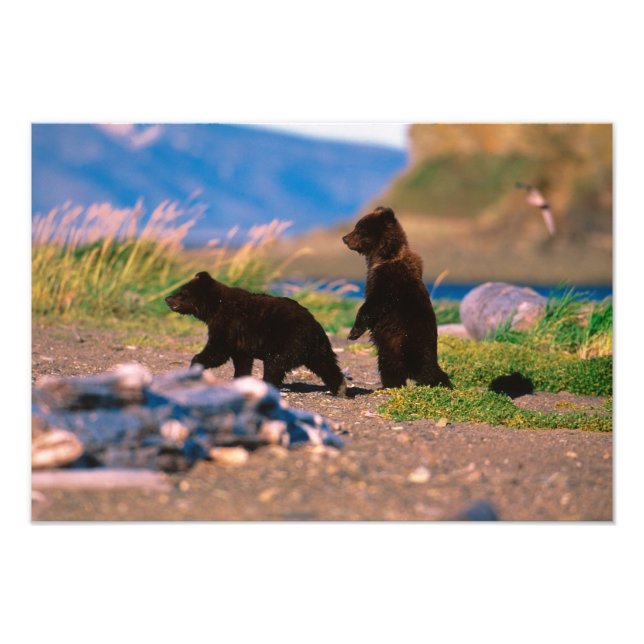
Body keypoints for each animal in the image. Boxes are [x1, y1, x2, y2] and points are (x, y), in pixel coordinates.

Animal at [165, 271, 347, 396]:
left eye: (182, 292)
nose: (167, 298)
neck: (214, 307)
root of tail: (315, 327)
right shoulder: (241, 339)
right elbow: (242, 360)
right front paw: (240, 380)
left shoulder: (228, 324)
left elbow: (218, 351)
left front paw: (194, 364)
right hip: (318, 349)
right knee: (326, 365)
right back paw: (340, 388)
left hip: (287, 340)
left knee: (274, 365)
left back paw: (267, 386)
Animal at [342, 206, 452, 389]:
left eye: (359, 229)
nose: (344, 238)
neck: (384, 255)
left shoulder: (388, 281)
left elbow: (372, 305)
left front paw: (353, 333)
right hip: (391, 345)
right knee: (390, 365)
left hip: (407, 341)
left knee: (419, 366)